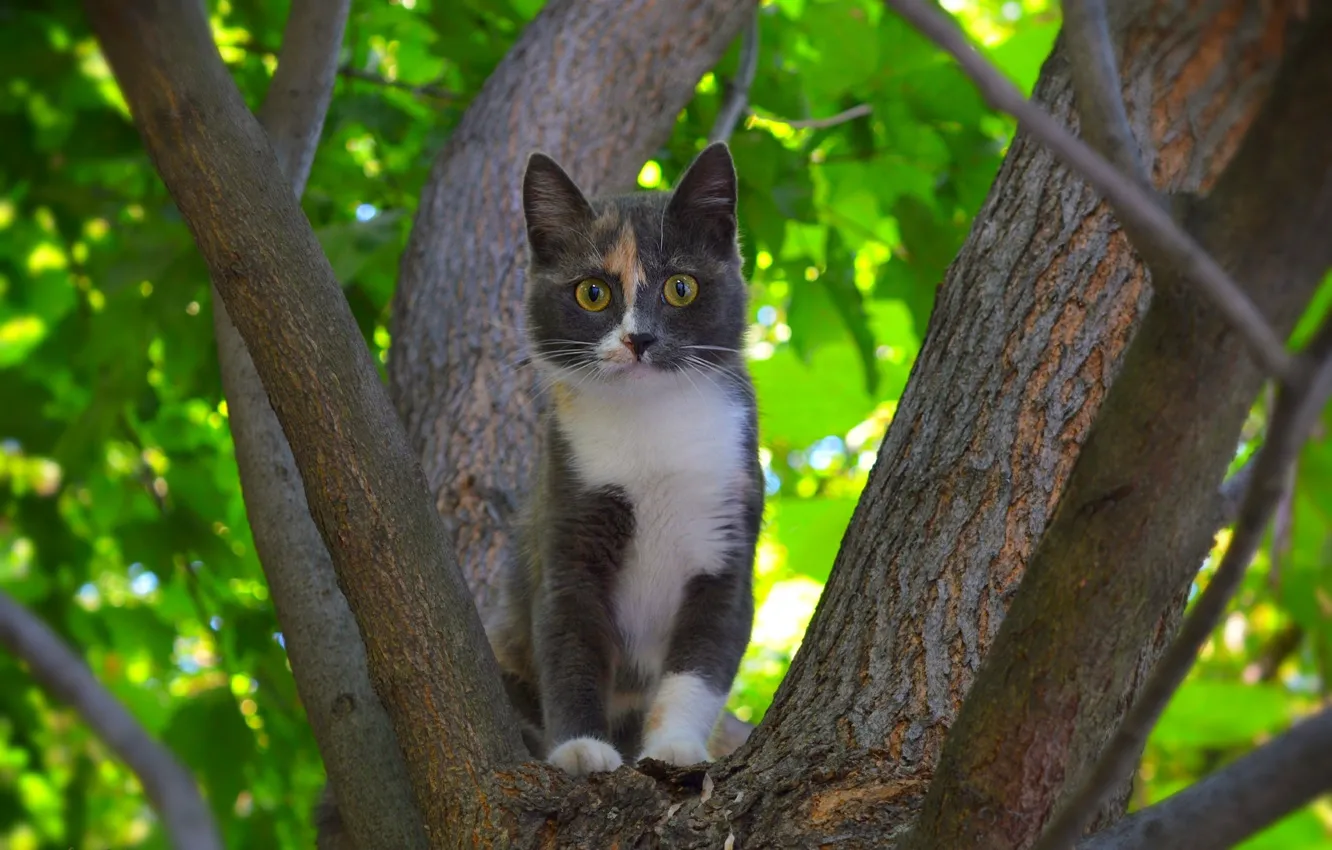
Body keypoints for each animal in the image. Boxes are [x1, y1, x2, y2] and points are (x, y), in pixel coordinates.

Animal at [487, 143, 761, 778]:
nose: (640, 339)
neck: (651, 422)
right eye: (593, 292)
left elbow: (702, 661)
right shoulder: (567, 517)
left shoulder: (729, 535)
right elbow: (569, 642)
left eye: (681, 288)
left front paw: (675, 747)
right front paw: (581, 749)